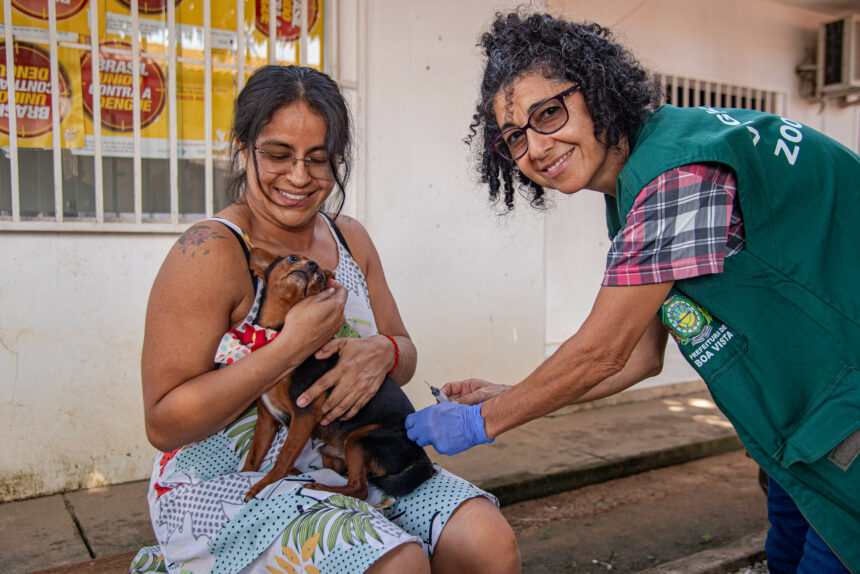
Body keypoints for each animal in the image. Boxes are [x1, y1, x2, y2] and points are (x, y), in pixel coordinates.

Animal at [240, 250, 434, 502]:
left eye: (321, 278)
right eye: (292, 259)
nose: (313, 266)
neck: (279, 332)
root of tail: (419, 452)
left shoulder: (304, 415)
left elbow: (282, 459)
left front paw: (262, 485)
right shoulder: (266, 420)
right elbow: (253, 459)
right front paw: (246, 475)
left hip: (360, 440)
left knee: (359, 489)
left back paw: (319, 486)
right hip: (332, 452)